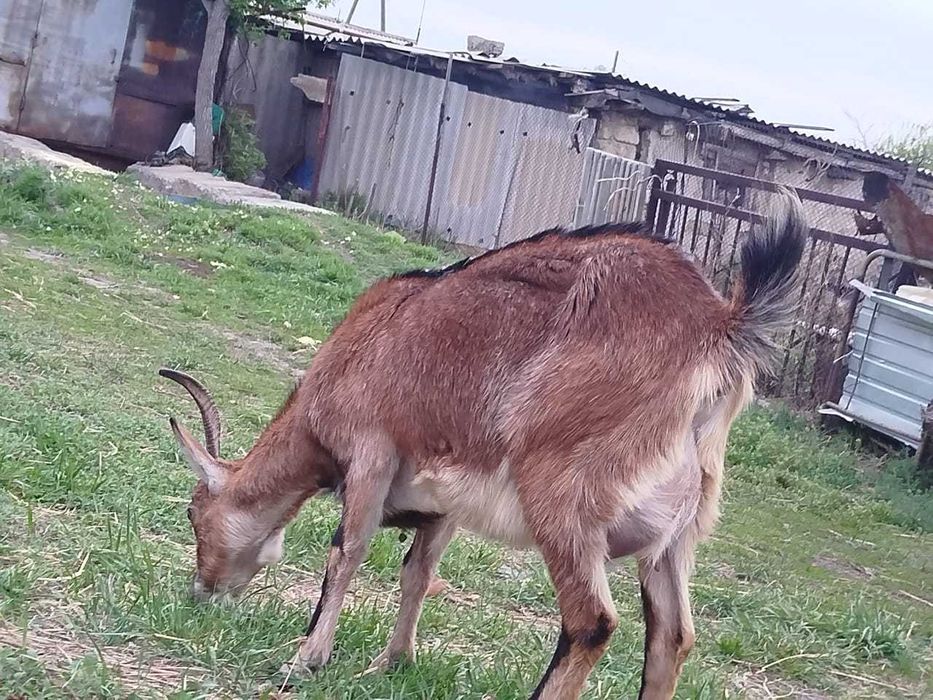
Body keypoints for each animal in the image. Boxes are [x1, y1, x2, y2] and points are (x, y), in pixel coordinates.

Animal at [160, 191, 806, 699]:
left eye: (193, 513)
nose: (200, 592)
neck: (349, 357)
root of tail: (716, 330)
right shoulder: (445, 500)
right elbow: (417, 573)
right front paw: (389, 664)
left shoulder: (373, 453)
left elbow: (344, 554)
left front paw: (303, 661)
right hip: (677, 536)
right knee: (671, 634)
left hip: (565, 502)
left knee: (592, 621)